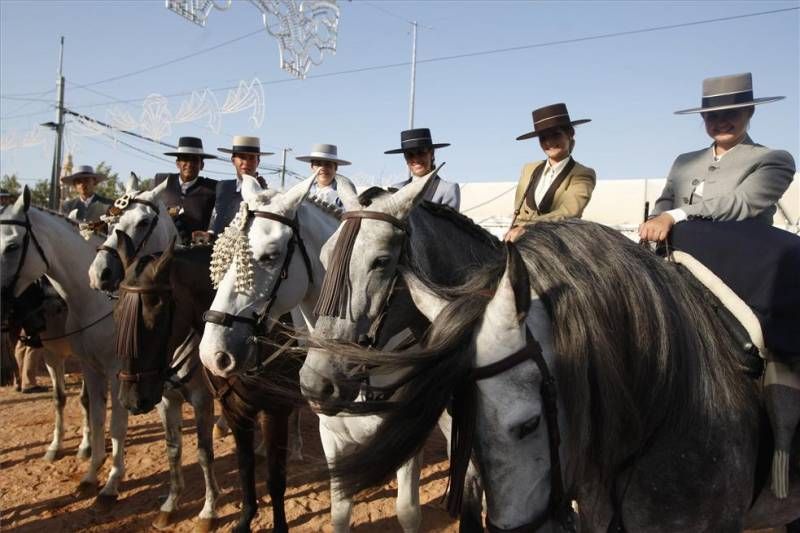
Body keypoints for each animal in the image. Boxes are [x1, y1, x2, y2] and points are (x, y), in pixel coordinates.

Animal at [0, 190, 126, 502]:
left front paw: (108, 476)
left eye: (12, 246)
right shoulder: (60, 357)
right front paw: (65, 450)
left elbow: (110, 417)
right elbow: (68, 401)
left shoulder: (115, 369)